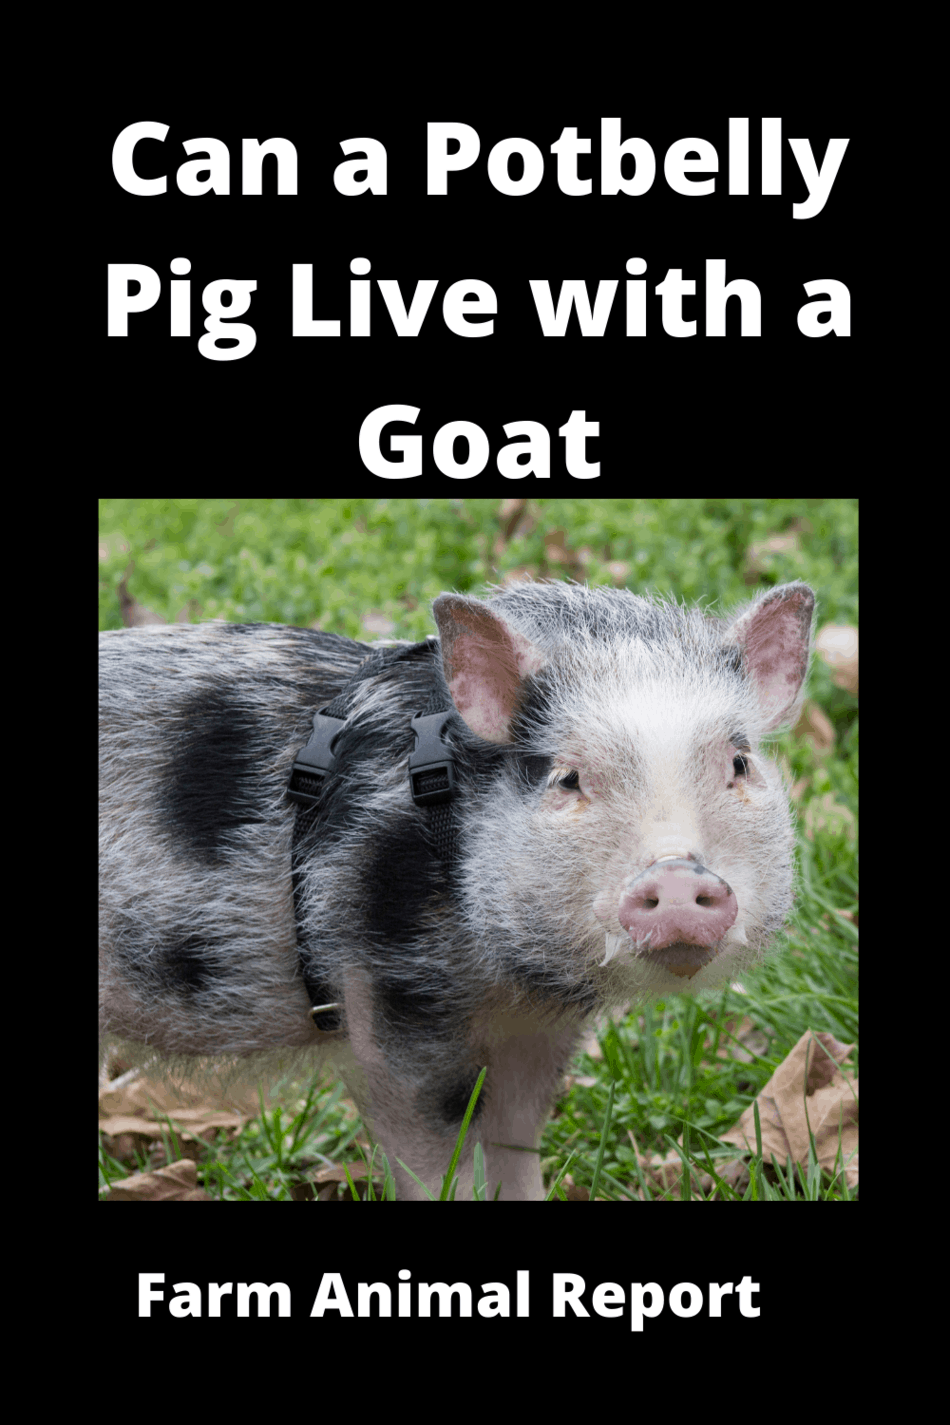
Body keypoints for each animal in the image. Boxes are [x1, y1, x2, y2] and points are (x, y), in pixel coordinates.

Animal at [99, 578, 815, 1200]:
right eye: (568, 778)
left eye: (739, 763)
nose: (678, 873)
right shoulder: (388, 991)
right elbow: (435, 1155)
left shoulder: (535, 1031)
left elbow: (517, 1139)